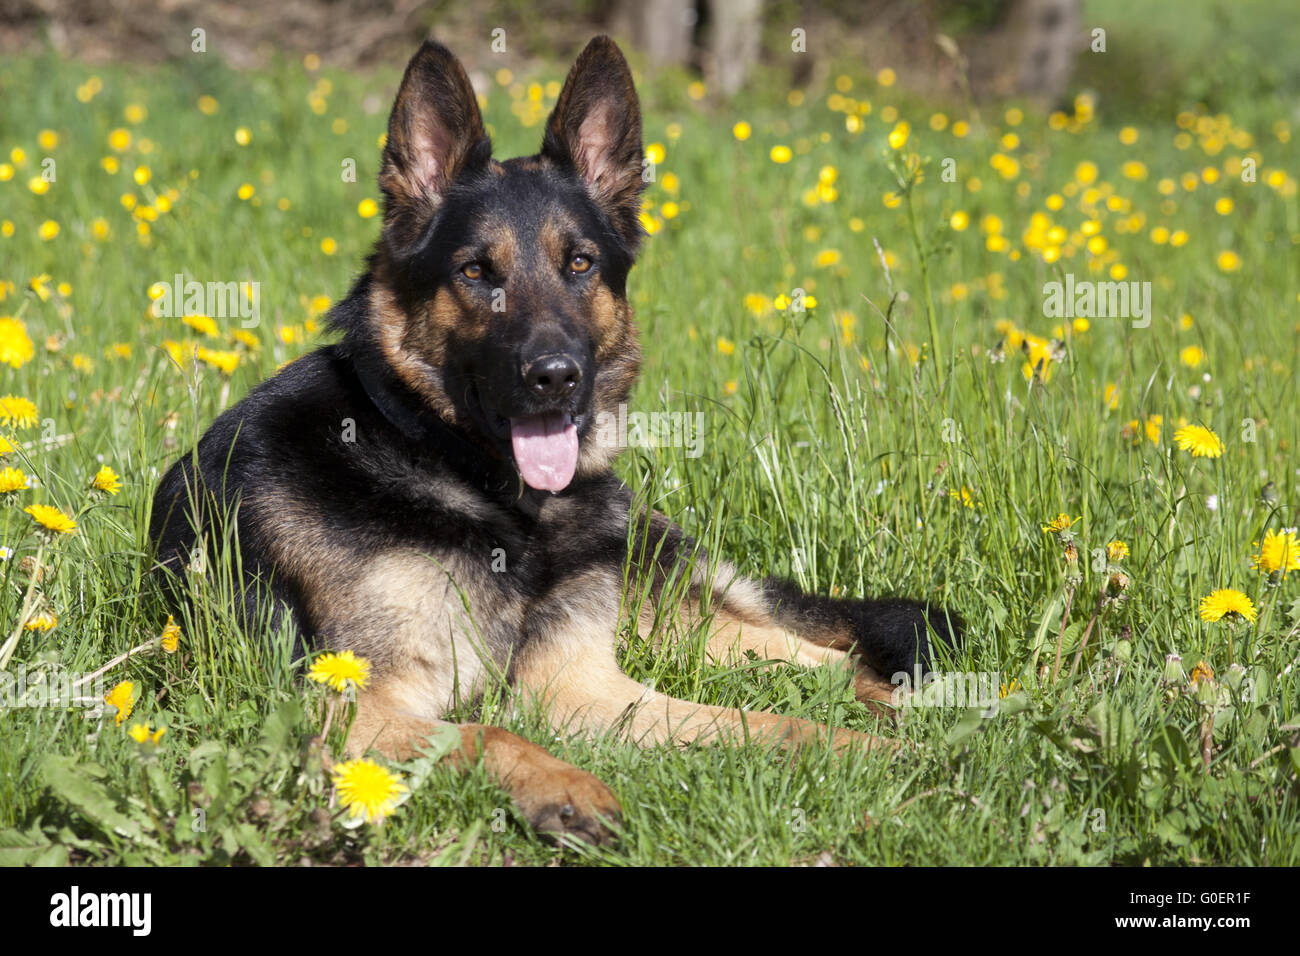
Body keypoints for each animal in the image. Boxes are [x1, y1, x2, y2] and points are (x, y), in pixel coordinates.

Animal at [152, 37, 967, 842]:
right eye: (475, 272)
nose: (554, 377)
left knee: (818, 655)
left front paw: (867, 753)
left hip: (671, 613)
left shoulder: (581, 681)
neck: (475, 484)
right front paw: (566, 788)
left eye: (579, 263)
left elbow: (763, 724)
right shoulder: (359, 711)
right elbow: (489, 731)